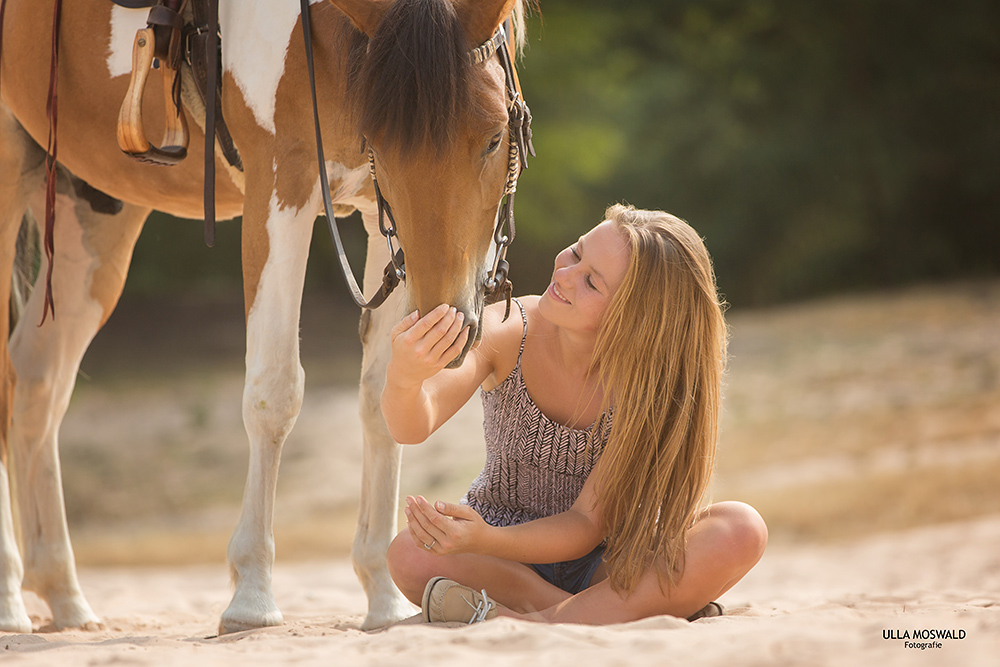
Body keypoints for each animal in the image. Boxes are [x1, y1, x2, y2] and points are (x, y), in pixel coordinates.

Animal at [0, 0, 532, 636]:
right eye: (381, 142)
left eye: (495, 137)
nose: (446, 326)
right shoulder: (282, 185)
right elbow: (273, 393)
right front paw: (252, 594)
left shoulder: (379, 213)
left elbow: (383, 399)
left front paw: (382, 596)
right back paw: (10, 597)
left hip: (94, 209)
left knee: (37, 380)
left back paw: (64, 595)